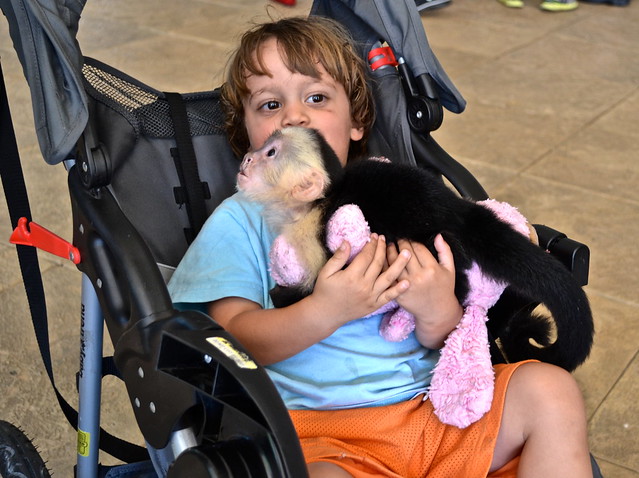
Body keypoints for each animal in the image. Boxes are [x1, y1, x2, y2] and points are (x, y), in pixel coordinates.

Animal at [236, 126, 596, 370]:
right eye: (262, 145)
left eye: (270, 152)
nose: (247, 157)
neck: (318, 201)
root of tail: (458, 209)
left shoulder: (313, 230)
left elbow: (315, 292)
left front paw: (284, 294)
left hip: (434, 238)